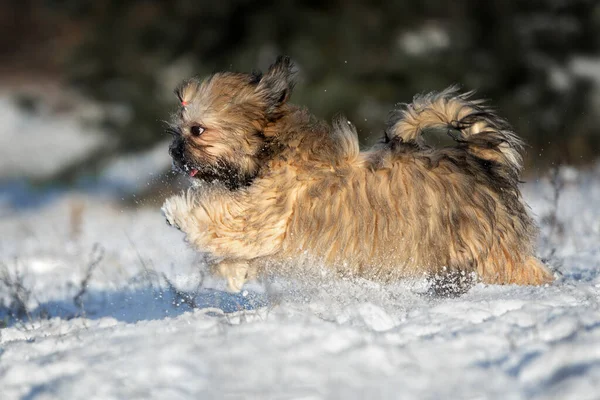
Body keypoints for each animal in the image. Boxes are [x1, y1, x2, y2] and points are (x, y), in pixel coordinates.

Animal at [161, 56, 552, 292]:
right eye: (178, 129)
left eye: (197, 130)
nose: (175, 152)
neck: (271, 149)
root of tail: (484, 161)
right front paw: (235, 273)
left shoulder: (266, 216)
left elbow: (222, 219)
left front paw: (177, 212)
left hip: (492, 252)